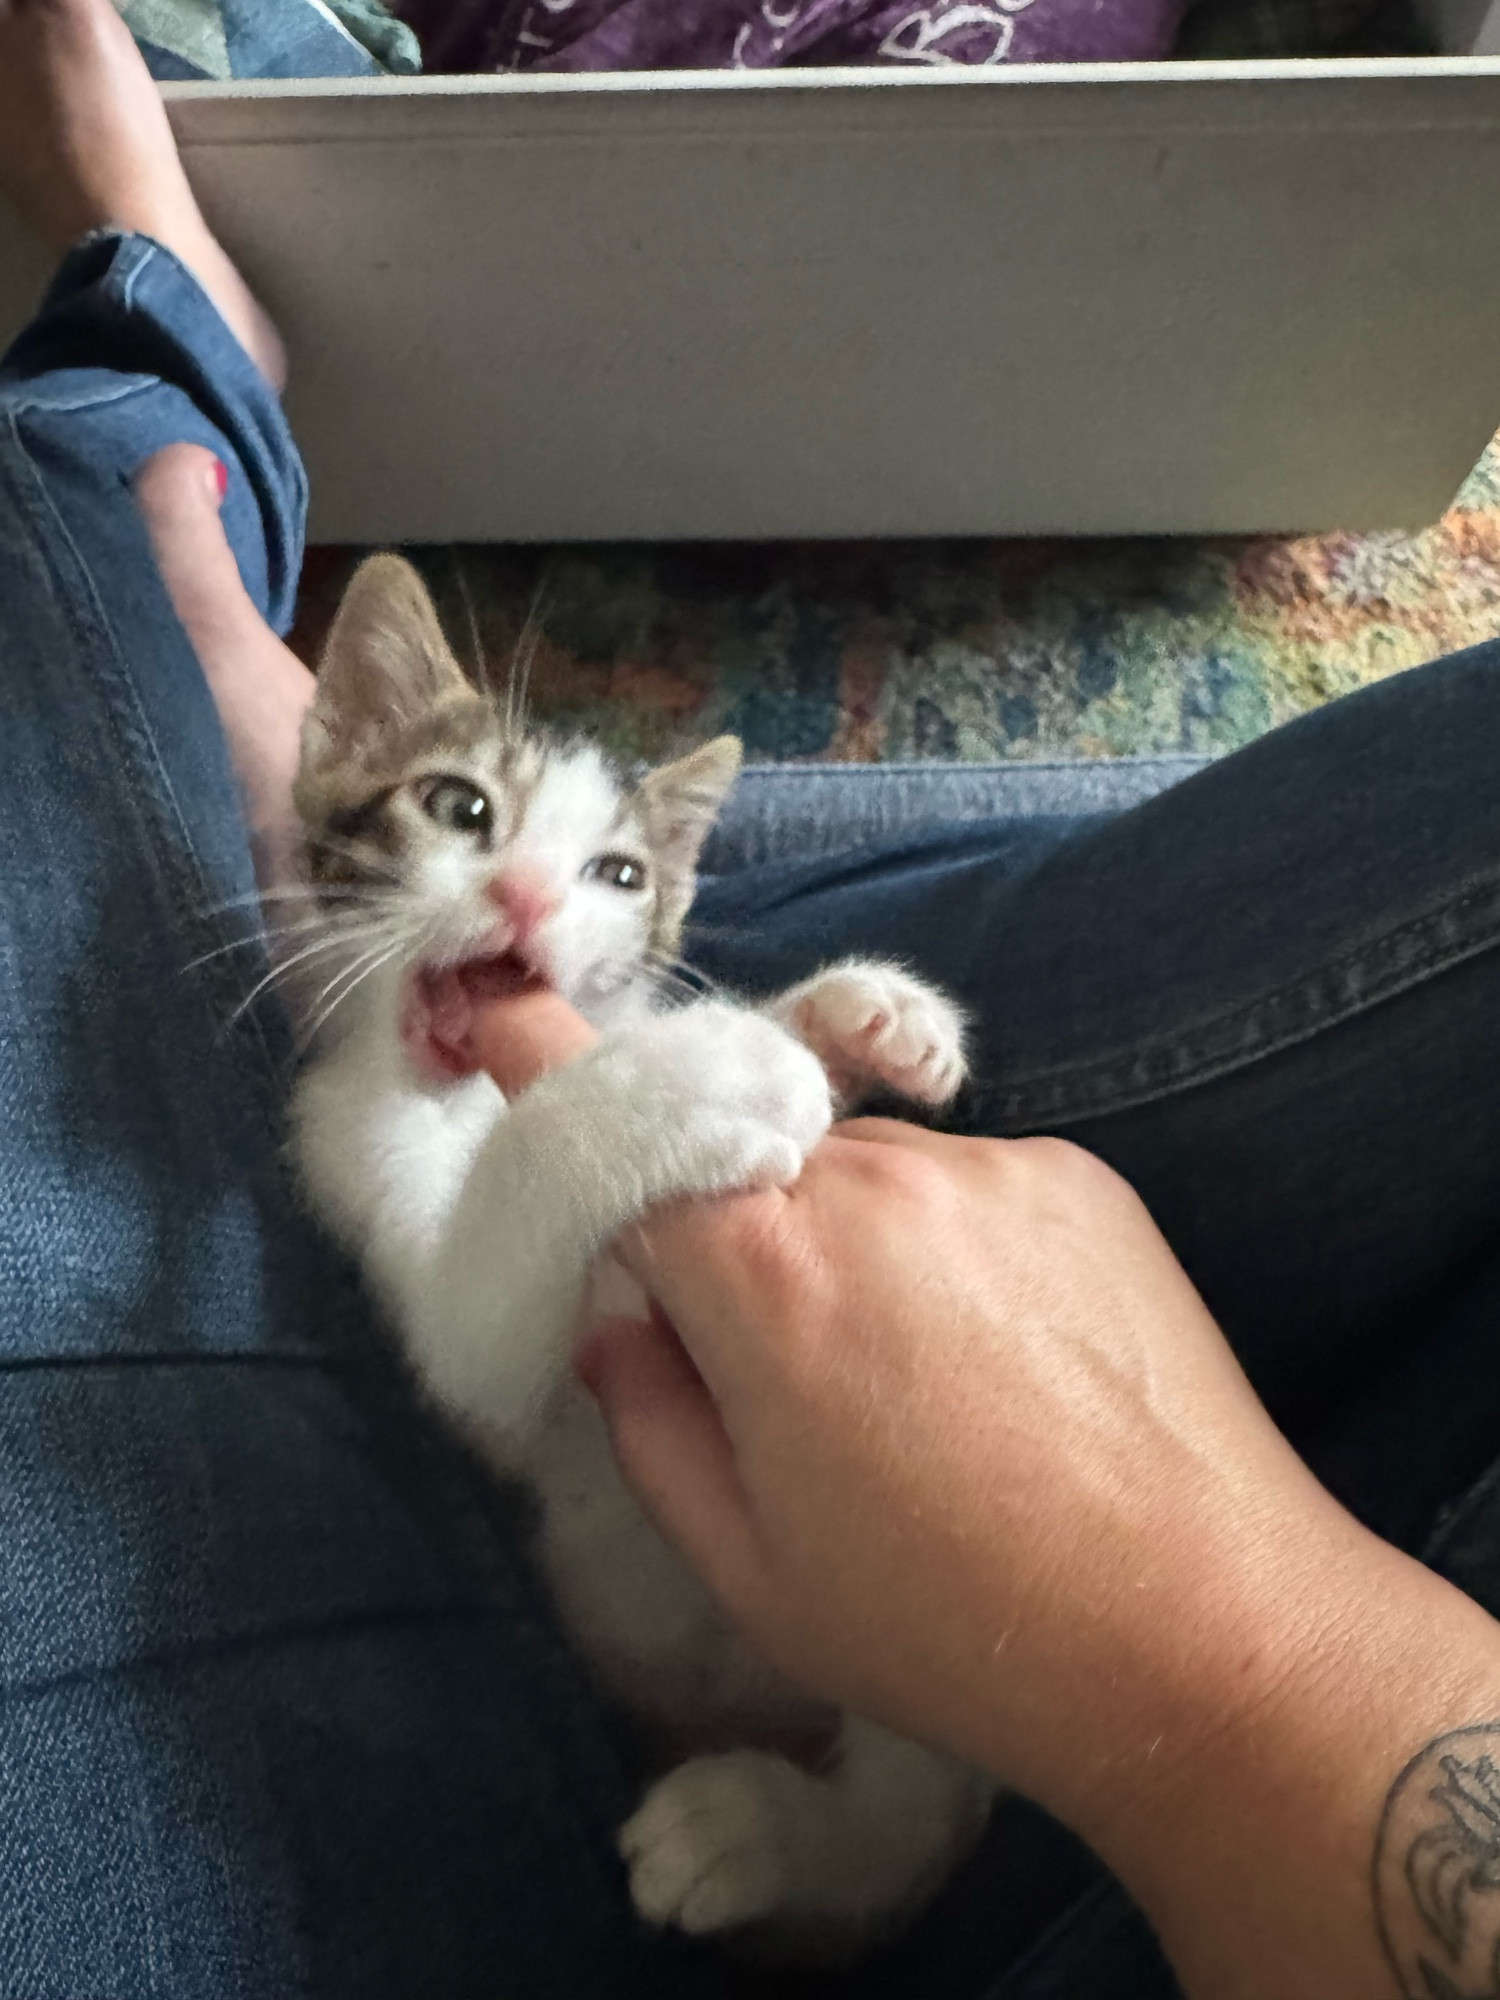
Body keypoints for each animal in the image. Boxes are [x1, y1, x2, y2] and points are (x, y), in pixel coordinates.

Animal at [286, 556, 992, 1960]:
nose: (527, 899)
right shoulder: (367, 1186)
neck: (471, 1083)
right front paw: (710, 1067)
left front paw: (859, 1013)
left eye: (617, 872)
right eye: (460, 805)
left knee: (915, 1808)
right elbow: (492, 1278)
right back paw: (742, 1830)